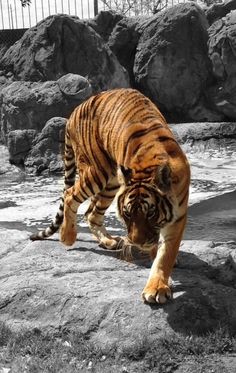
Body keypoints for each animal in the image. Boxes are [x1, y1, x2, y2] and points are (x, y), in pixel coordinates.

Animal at [30, 88, 191, 304]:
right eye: (127, 214)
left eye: (150, 213)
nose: (137, 242)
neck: (149, 165)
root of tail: (75, 110)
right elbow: (161, 252)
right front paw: (157, 286)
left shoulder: (178, 216)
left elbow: (165, 254)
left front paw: (158, 281)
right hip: (97, 171)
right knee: (70, 194)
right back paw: (67, 237)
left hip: (112, 182)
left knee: (91, 213)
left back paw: (108, 241)